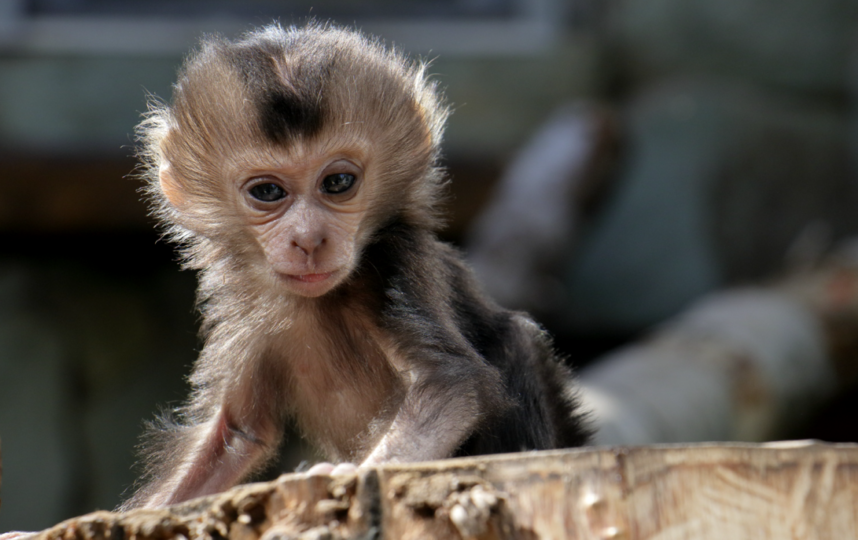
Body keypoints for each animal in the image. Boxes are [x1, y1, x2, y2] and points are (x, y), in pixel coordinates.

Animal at [123, 22, 588, 510]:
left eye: (338, 182)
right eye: (267, 192)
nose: (309, 239)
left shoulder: (396, 258)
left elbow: (450, 385)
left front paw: (351, 472)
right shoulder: (239, 302)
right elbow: (236, 434)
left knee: (517, 340)